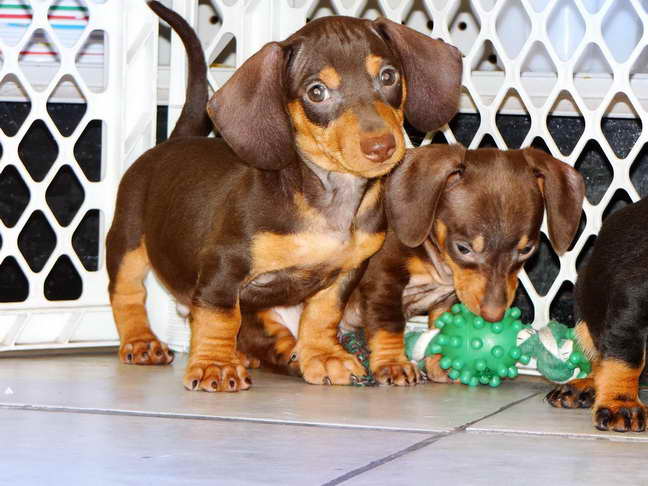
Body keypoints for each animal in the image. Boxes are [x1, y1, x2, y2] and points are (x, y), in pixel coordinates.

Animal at [106, 1, 464, 392]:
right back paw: (142, 341)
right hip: (127, 243)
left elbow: (322, 315)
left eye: (388, 77)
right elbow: (219, 317)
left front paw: (322, 355)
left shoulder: (346, 273)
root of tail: (175, 140)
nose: (381, 146)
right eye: (316, 92)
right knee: (127, 294)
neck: (330, 200)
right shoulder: (223, 267)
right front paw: (216, 364)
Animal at [344, 142, 588, 386]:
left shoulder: (449, 296)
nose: (493, 315)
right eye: (463, 248)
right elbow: (388, 325)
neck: (439, 261)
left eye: (527, 249)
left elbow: (443, 328)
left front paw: (442, 364)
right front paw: (393, 364)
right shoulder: (383, 280)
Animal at [548, 197, 648, 432]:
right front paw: (621, 405)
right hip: (584, 316)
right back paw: (583, 387)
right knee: (599, 362)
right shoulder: (631, 304)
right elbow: (626, 361)